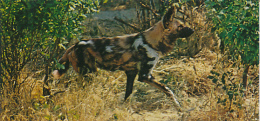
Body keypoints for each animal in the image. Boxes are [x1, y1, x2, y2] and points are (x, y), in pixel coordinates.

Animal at [52, 5, 194, 111]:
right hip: (89, 74)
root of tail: (73, 46)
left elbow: (127, 94)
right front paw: (178, 107)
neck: (151, 42)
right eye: (180, 26)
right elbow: (168, 90)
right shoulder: (145, 76)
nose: (193, 30)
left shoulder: (131, 73)